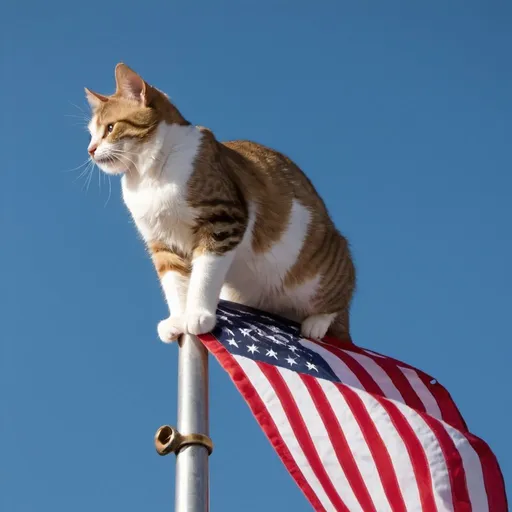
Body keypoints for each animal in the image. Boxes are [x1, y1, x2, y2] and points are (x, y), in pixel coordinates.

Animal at [85, 63, 356, 344]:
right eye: (91, 134)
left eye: (110, 128)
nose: (90, 150)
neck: (147, 177)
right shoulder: (162, 241)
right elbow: (175, 284)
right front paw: (179, 319)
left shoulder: (222, 222)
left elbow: (204, 274)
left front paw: (197, 314)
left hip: (321, 269)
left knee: (340, 301)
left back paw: (316, 323)